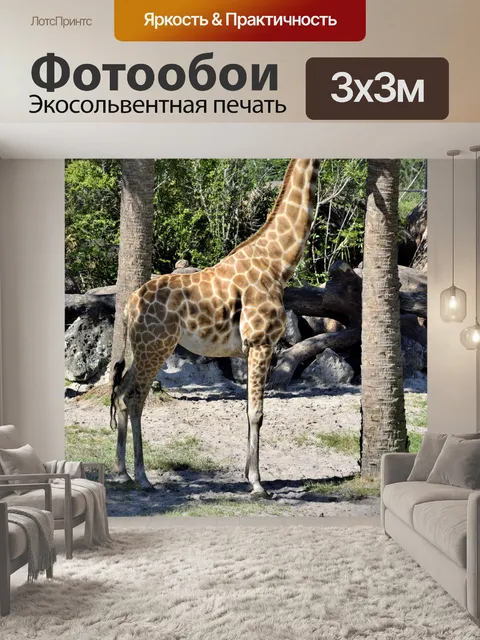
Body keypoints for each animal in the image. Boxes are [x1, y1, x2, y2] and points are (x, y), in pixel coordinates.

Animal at [110, 158, 320, 496]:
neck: (278, 264)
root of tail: (130, 304)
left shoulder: (249, 349)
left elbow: (249, 410)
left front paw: (247, 475)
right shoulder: (261, 342)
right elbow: (257, 412)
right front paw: (258, 483)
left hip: (141, 349)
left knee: (120, 391)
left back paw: (122, 472)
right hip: (157, 347)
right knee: (134, 396)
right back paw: (142, 476)